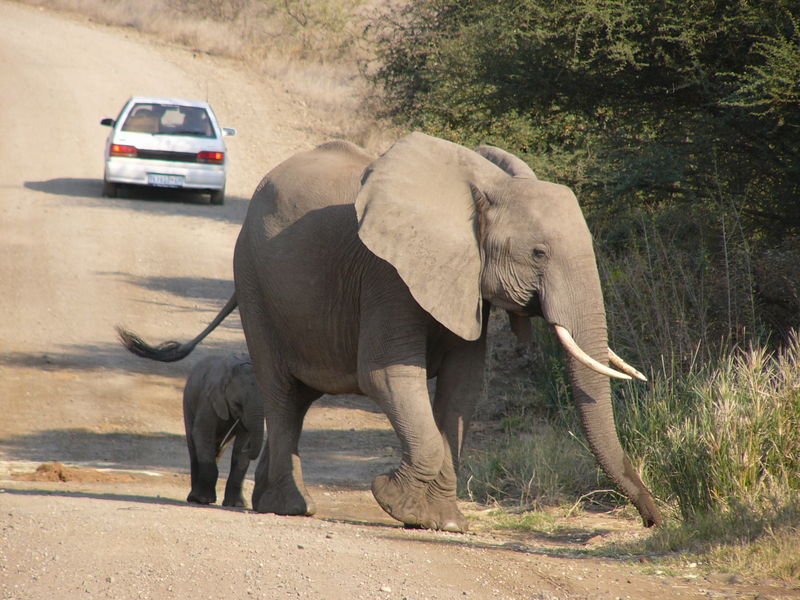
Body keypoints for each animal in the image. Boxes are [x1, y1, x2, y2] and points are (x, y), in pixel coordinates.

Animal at [183, 354, 264, 508]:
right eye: (238, 404)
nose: (249, 449)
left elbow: (243, 440)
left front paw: (237, 505)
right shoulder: (207, 400)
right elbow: (202, 433)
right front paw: (203, 500)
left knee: (218, 449)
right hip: (188, 406)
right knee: (193, 445)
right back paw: (194, 498)